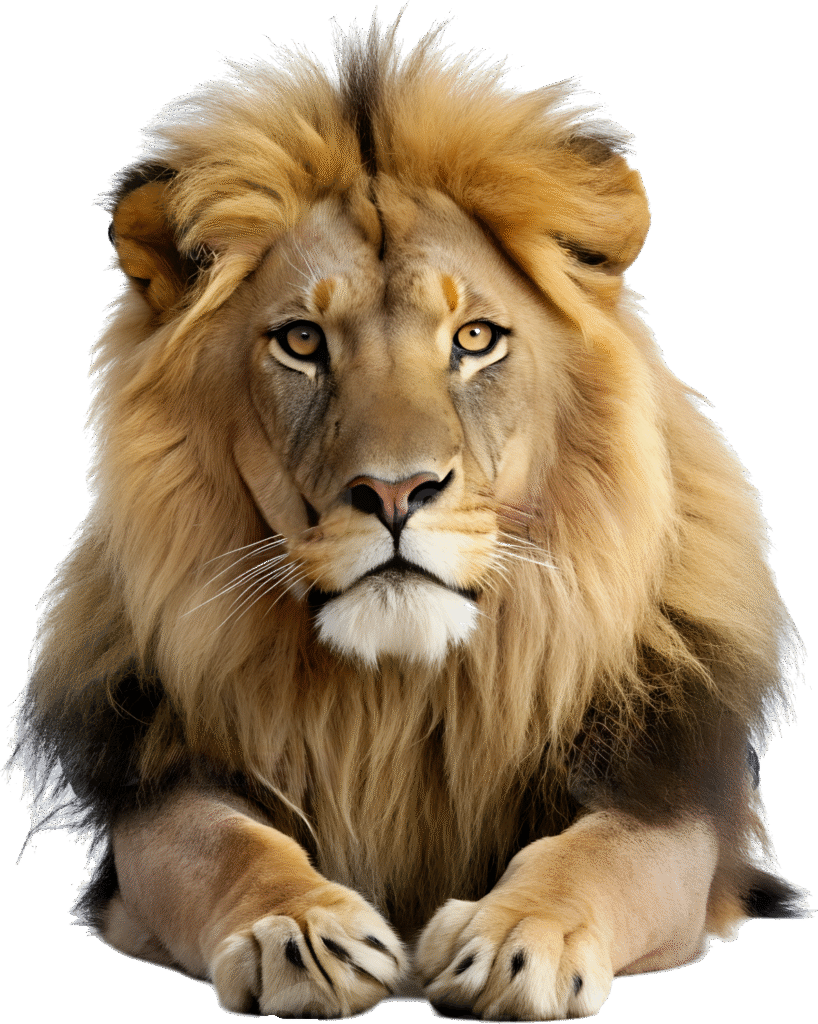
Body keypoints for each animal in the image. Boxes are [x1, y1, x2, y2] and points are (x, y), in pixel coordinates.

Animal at [19, 21, 802, 1020]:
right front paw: (300, 927)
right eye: (302, 342)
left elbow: (597, 854)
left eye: (474, 339)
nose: (395, 493)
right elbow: (220, 842)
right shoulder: (152, 794)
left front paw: (519, 935)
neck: (401, 693)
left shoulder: (673, 802)